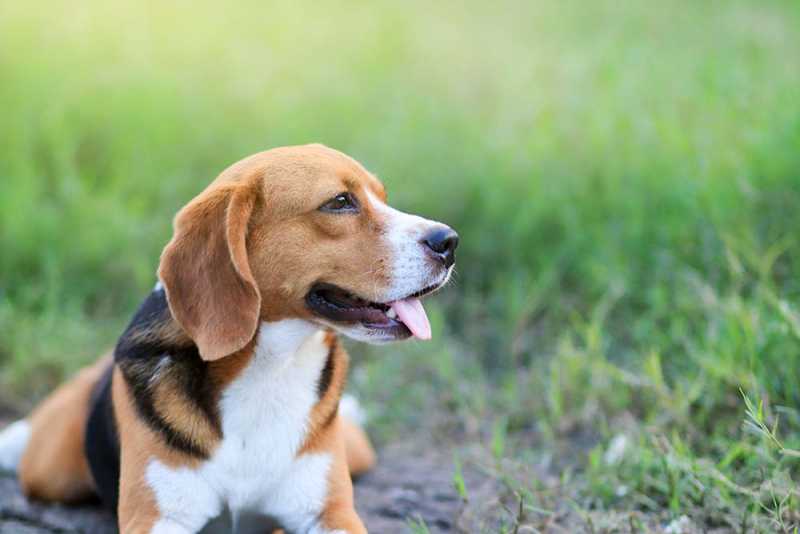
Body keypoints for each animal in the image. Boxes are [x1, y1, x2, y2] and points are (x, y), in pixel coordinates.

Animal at [0, 144, 456, 532]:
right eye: (339, 202)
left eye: (382, 196)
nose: (449, 241)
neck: (271, 369)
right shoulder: (159, 518)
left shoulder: (329, 512)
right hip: (49, 472)